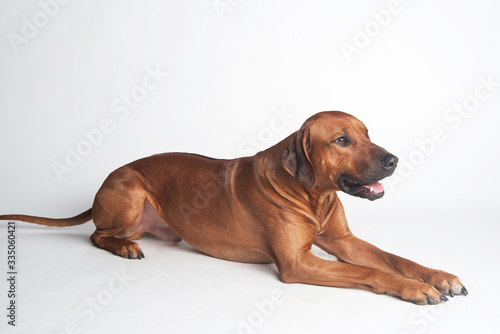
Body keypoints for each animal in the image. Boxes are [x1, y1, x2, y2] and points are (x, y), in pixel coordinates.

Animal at [1, 111, 466, 304]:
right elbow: (373, 272)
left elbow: (395, 258)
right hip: (130, 192)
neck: (313, 194)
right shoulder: (297, 263)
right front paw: (414, 288)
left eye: (368, 133)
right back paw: (124, 248)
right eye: (341, 140)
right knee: (98, 235)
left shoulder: (343, 240)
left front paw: (437, 276)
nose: (393, 160)